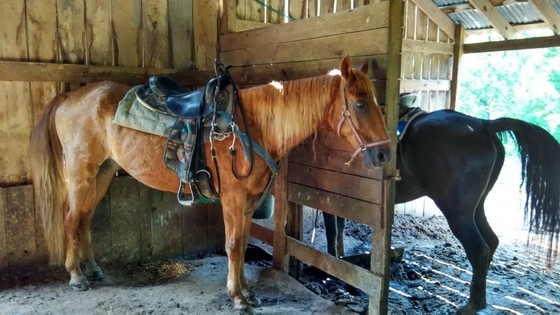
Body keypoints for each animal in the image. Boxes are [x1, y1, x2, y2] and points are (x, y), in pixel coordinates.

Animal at [28, 56, 392, 314]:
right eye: (360, 103)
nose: (385, 154)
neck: (252, 127)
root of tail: (69, 96)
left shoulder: (247, 202)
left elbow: (242, 244)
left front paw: (247, 292)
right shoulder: (233, 198)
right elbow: (232, 245)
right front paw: (237, 297)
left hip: (102, 174)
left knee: (84, 220)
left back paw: (92, 270)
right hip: (82, 174)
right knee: (71, 220)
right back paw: (76, 276)